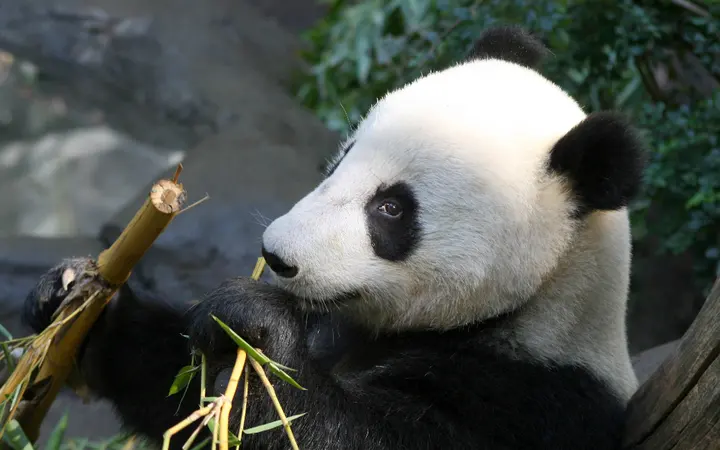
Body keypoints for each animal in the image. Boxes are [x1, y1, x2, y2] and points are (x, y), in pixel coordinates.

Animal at [24, 25, 645, 450]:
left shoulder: (528, 400)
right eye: (341, 160)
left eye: (391, 209)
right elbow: (181, 394)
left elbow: (328, 430)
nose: (277, 256)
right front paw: (75, 297)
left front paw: (255, 325)